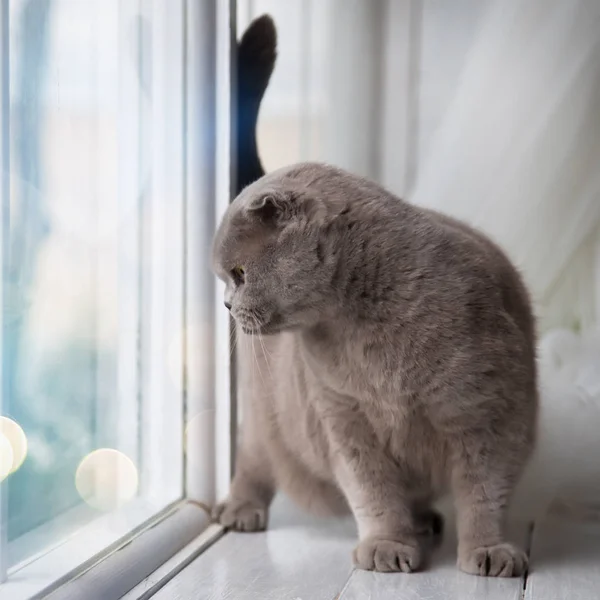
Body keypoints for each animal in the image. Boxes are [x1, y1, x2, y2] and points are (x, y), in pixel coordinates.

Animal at [212, 161, 540, 576]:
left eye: (240, 273)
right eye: (229, 276)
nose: (226, 304)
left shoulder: (488, 414)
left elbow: (485, 492)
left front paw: (490, 550)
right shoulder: (344, 418)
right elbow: (373, 491)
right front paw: (387, 545)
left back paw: (423, 521)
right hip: (263, 417)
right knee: (253, 463)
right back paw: (239, 510)